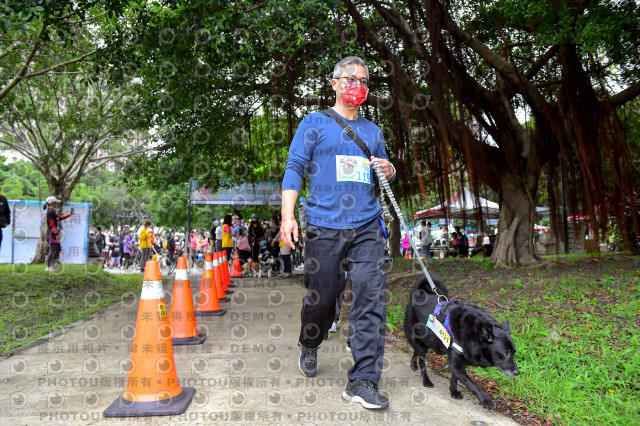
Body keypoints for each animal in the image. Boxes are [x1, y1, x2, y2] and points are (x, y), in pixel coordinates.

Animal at [404, 276, 520, 410]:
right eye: (506, 354)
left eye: (514, 353)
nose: (517, 373)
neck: (473, 336)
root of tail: (418, 293)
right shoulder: (456, 363)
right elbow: (471, 383)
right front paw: (485, 400)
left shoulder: (461, 360)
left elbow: (455, 378)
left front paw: (453, 391)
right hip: (421, 342)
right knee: (421, 360)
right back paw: (426, 381)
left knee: (415, 352)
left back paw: (413, 365)